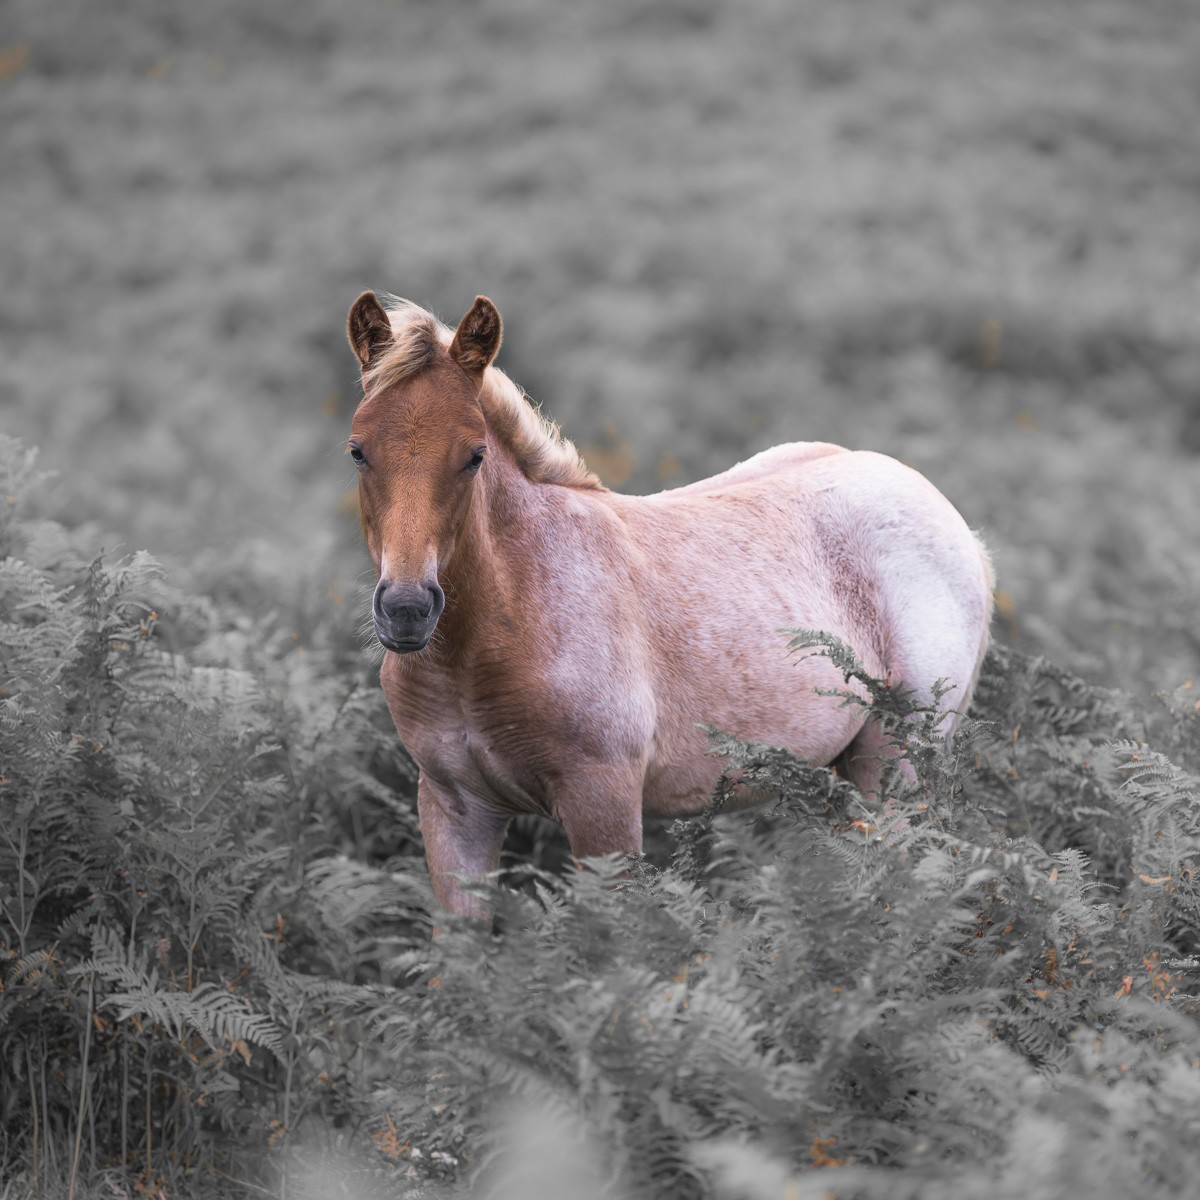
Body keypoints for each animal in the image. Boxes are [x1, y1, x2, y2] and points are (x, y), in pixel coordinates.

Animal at [345, 292, 993, 916]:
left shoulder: (603, 806)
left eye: (476, 455)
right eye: (357, 450)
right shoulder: (455, 810)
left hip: (895, 770)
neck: (496, 633)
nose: (407, 609)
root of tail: (952, 520)